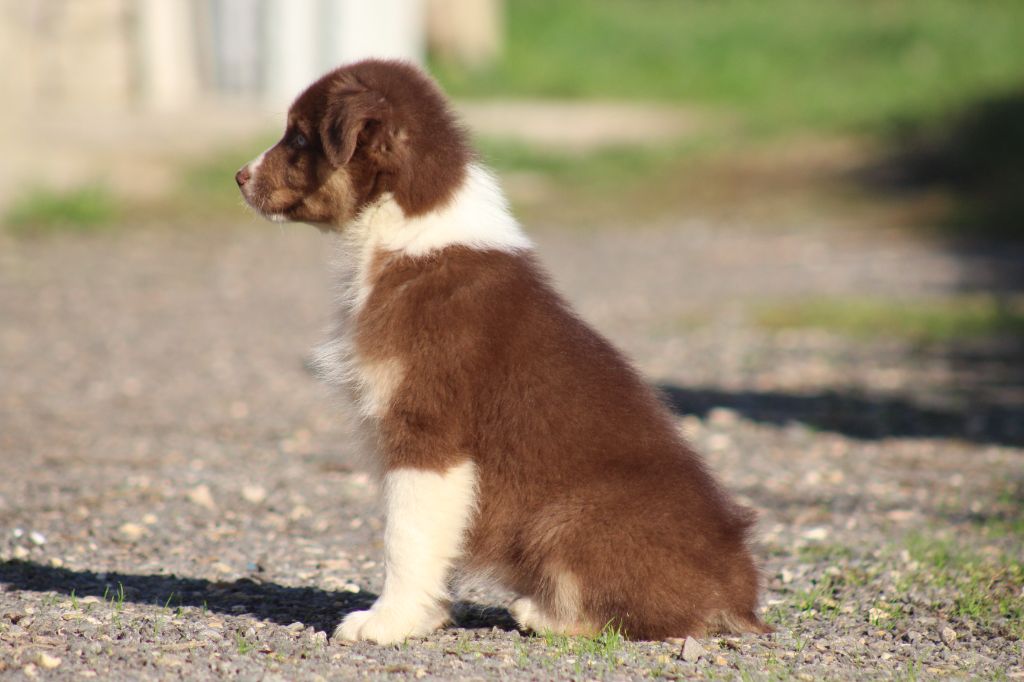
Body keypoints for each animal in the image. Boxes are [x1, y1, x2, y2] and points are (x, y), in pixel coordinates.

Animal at [237, 59, 770, 643]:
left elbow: (405, 534)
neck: (404, 230)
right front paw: (427, 617)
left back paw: (541, 614)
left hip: (566, 515)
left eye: (298, 137)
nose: (238, 176)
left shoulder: (427, 429)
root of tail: (738, 596)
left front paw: (386, 621)